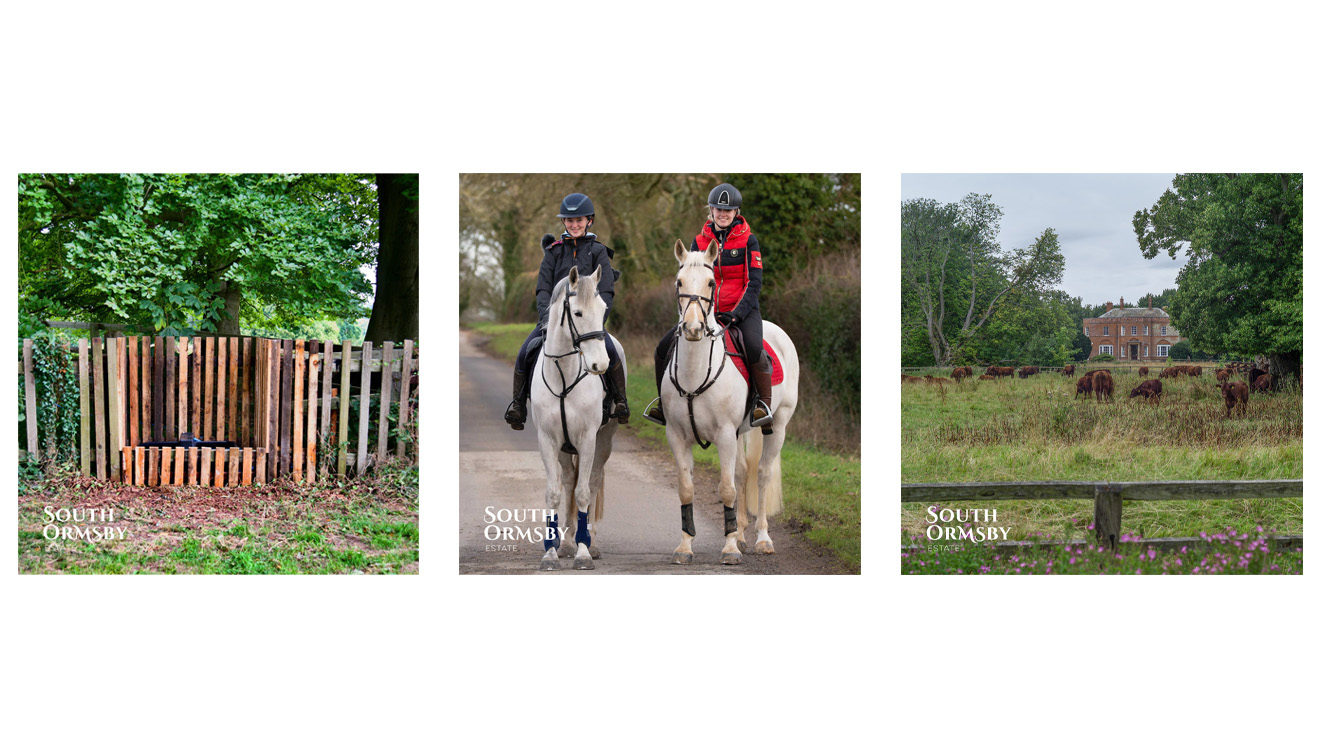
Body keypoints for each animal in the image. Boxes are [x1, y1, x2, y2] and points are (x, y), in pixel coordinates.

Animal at [525, 266, 623, 569]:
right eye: (577, 313)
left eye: (603, 310)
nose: (600, 365)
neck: (564, 374)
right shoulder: (547, 440)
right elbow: (555, 492)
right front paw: (551, 552)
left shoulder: (588, 439)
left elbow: (583, 492)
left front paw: (583, 553)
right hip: (564, 449)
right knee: (569, 479)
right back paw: (567, 541)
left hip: (604, 441)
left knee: (592, 481)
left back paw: (590, 541)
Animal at [657, 242, 797, 564]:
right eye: (679, 283)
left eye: (711, 283)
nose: (693, 328)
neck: (695, 372)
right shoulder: (677, 436)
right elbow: (687, 489)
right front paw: (685, 547)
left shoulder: (723, 435)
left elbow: (727, 490)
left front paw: (730, 548)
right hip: (739, 433)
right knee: (743, 472)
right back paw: (743, 534)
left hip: (778, 425)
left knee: (761, 474)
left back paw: (762, 539)